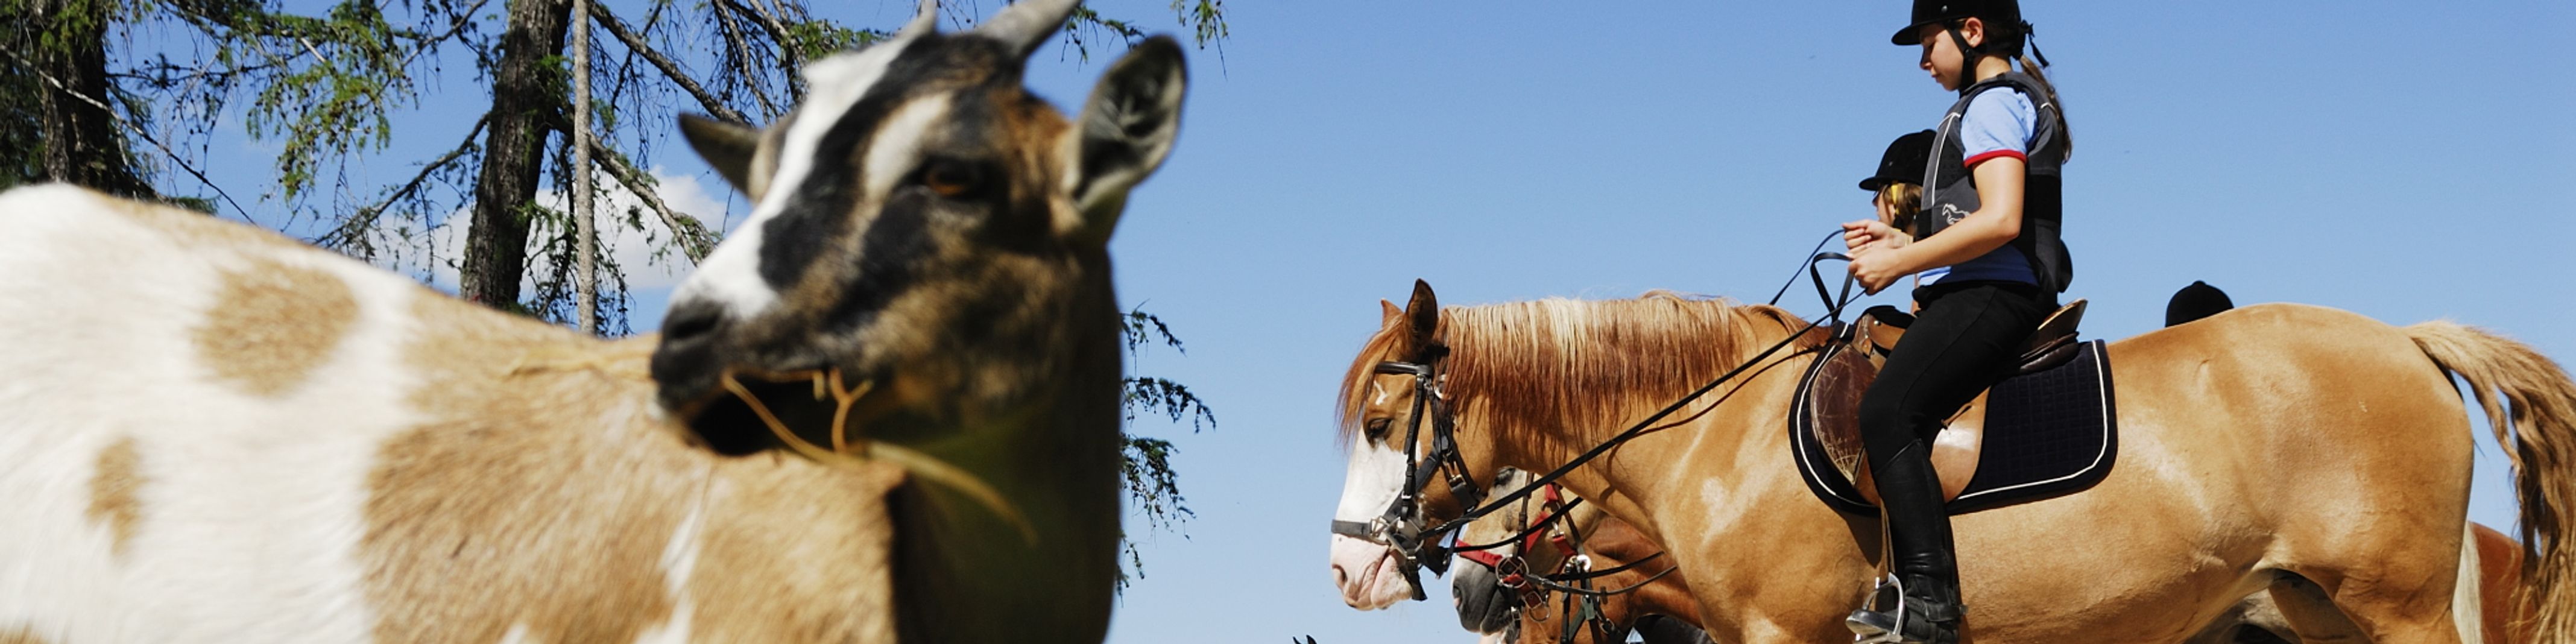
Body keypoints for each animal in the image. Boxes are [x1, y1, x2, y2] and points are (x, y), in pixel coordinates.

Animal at [1329, 285, 2576, 644]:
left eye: (1385, 422)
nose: (1349, 568)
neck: (1718, 431)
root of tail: (2406, 336)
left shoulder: (1793, 633)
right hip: (2318, 611)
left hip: (2401, 607)